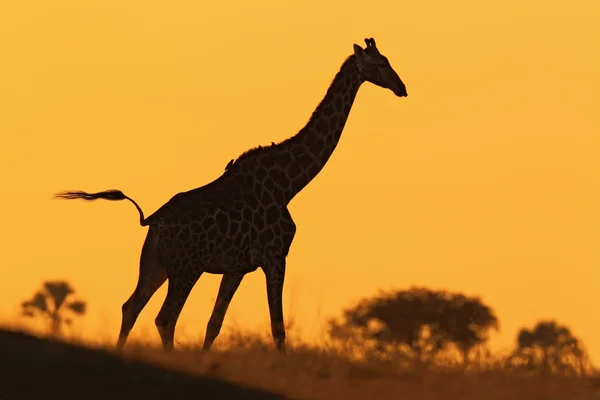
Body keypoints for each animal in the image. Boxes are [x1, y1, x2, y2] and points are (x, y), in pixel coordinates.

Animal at [54, 38, 408, 354]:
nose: (402, 88)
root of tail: (153, 221)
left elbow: (214, 325)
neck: (289, 183)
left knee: (131, 307)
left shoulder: (238, 266)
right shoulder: (275, 256)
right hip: (186, 268)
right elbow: (278, 328)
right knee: (165, 318)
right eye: (380, 63)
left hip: (155, 264)